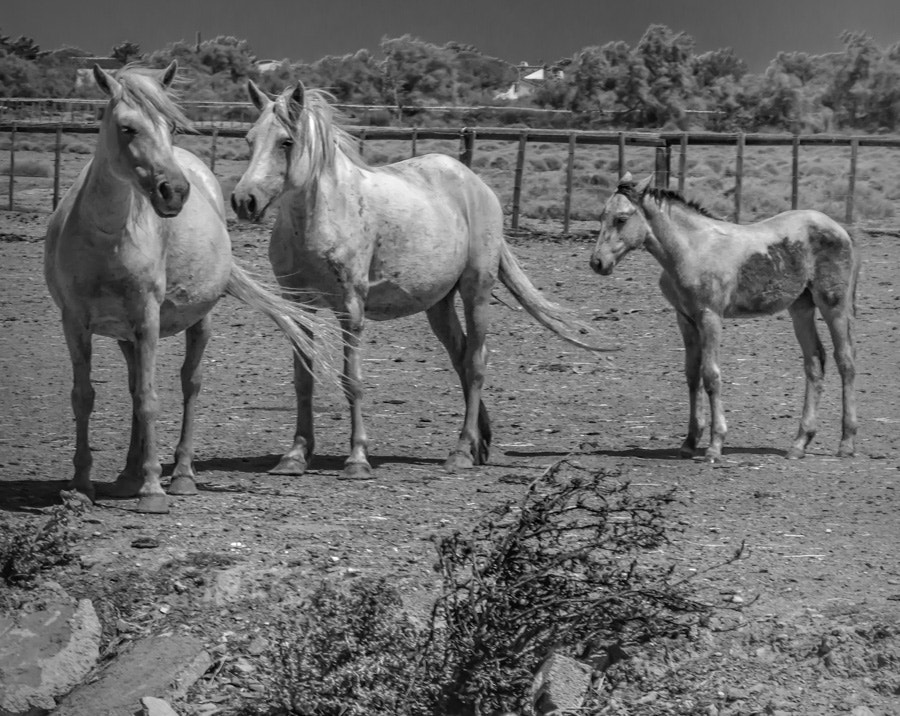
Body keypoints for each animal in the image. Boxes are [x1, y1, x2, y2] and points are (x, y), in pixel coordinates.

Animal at [44, 63, 332, 513]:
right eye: (127, 128)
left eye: (172, 127)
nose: (174, 191)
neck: (106, 236)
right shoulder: (74, 322)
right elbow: (85, 397)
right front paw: (81, 485)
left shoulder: (146, 317)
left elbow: (149, 399)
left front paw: (152, 490)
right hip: (126, 335)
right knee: (134, 387)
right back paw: (126, 476)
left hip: (198, 322)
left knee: (188, 384)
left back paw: (179, 474)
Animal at [230, 81, 614, 480]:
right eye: (249, 139)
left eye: (286, 141)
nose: (244, 200)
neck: (320, 214)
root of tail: (477, 185)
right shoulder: (298, 302)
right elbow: (303, 378)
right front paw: (295, 455)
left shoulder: (351, 308)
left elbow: (352, 380)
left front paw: (357, 458)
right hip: (438, 306)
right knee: (461, 358)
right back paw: (479, 443)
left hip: (476, 292)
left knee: (476, 361)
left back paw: (461, 451)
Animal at [589, 172, 859, 462]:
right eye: (601, 216)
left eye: (621, 219)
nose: (597, 262)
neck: (691, 249)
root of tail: (840, 229)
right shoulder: (685, 319)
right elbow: (692, 375)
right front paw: (689, 442)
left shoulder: (710, 317)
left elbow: (711, 375)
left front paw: (715, 445)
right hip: (801, 307)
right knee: (815, 362)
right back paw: (799, 443)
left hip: (833, 303)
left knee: (845, 361)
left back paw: (847, 442)